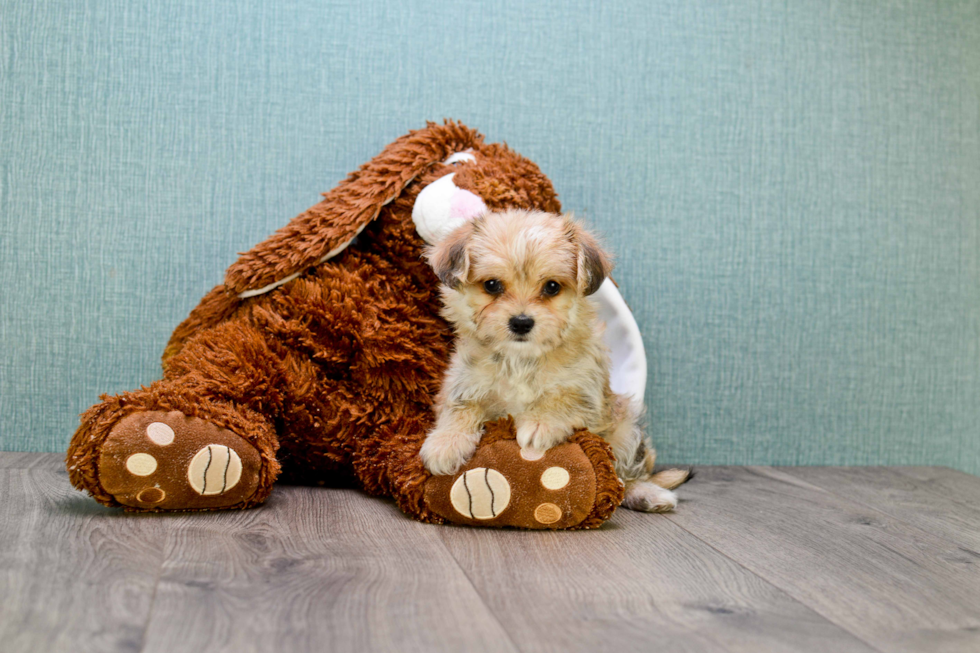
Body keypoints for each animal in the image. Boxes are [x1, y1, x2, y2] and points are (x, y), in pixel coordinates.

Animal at [422, 209, 688, 510]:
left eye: (551, 287)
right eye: (491, 285)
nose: (521, 322)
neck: (522, 360)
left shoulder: (586, 391)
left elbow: (562, 399)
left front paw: (540, 423)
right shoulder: (464, 382)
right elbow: (460, 409)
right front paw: (446, 443)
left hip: (626, 427)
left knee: (624, 476)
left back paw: (647, 494)